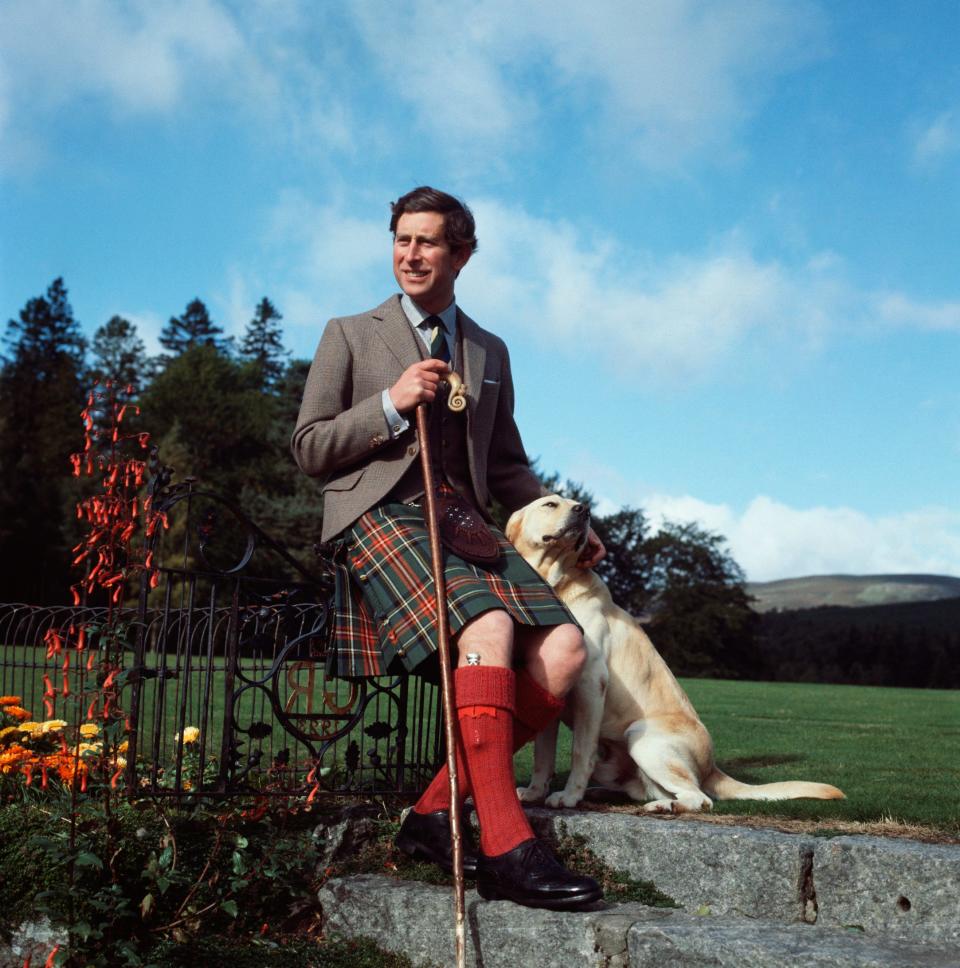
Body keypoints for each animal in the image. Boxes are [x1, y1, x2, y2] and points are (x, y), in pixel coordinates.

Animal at [506, 496, 844, 812]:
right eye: (550, 503)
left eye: (575, 504)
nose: (584, 510)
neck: (554, 583)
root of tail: (712, 767)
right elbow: (543, 755)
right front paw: (535, 792)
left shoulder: (591, 682)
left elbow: (580, 752)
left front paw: (568, 797)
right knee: (647, 790)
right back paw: (605, 794)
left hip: (641, 738)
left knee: (699, 798)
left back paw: (662, 807)